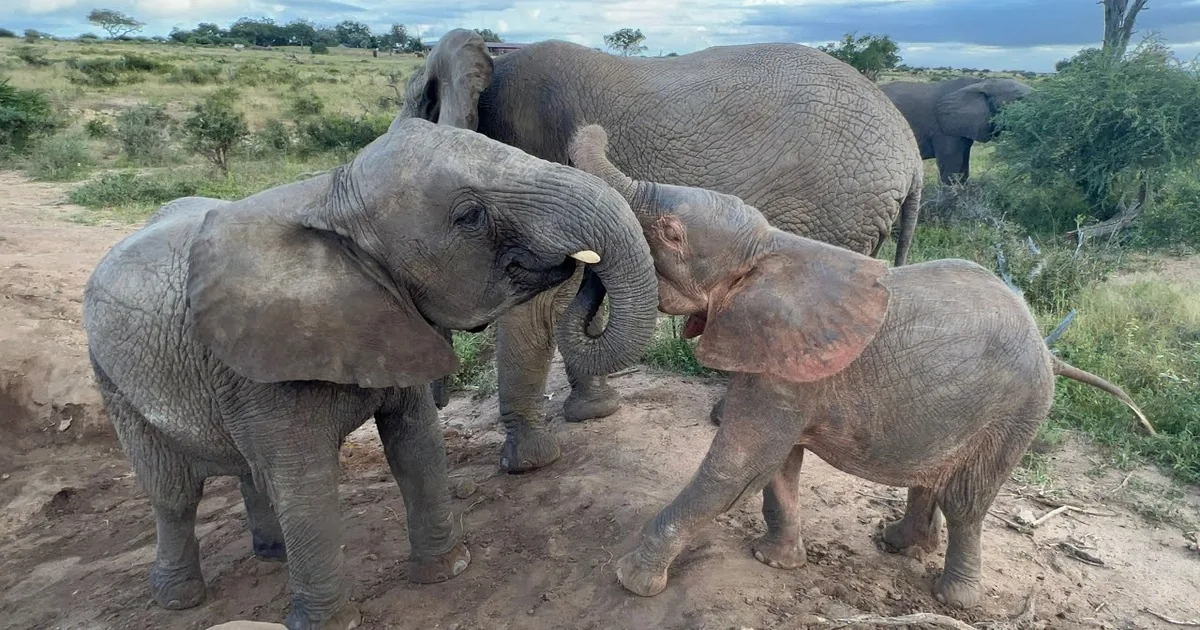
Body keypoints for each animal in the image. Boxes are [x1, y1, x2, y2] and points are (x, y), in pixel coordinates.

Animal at [80, 118, 659, 630]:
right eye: (469, 216)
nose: (584, 267)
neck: (330, 198)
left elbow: (417, 446)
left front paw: (447, 572)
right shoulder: (268, 363)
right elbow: (308, 483)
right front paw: (332, 624)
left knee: (248, 470)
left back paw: (272, 556)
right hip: (111, 376)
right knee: (172, 492)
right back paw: (179, 599)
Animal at [395, 28, 924, 474]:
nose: (439, 401)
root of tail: (912, 151)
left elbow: (537, 306)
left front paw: (525, 464)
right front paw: (593, 412)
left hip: (839, 206)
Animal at [567, 123, 1153, 609]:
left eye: (671, 233)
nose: (586, 262)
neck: (769, 246)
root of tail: (1045, 345)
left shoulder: (786, 371)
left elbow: (737, 467)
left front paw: (631, 580)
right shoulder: (782, 364)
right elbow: (778, 467)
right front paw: (774, 562)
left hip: (1018, 407)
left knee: (967, 501)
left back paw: (954, 597)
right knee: (934, 479)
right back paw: (898, 545)